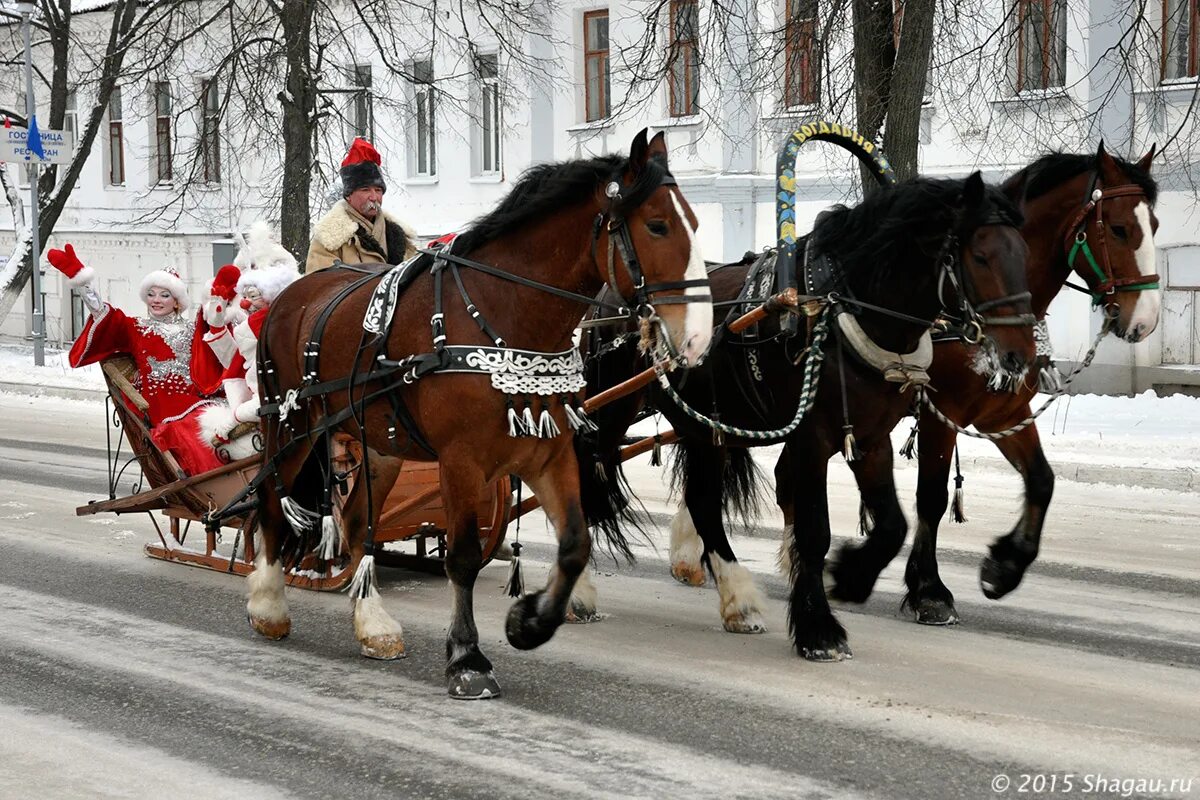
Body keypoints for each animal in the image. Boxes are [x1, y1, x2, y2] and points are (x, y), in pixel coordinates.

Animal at [244, 130, 710, 695]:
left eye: (694, 222)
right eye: (657, 224)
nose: (699, 335)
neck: (505, 315)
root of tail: (288, 295)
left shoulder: (548, 453)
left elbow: (574, 544)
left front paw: (530, 622)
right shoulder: (461, 462)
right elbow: (462, 558)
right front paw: (468, 657)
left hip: (379, 446)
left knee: (356, 526)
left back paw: (371, 625)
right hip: (292, 425)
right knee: (271, 502)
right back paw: (269, 605)